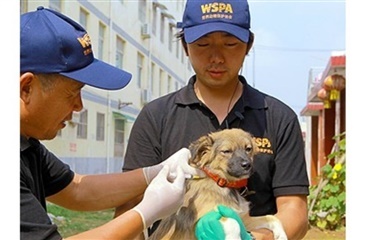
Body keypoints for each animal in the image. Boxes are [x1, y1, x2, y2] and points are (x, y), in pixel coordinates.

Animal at [147, 129, 286, 240]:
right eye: (226, 151)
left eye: (248, 149)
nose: (247, 165)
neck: (223, 183)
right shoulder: (202, 218)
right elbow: (232, 222)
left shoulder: (244, 219)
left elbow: (271, 218)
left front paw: (282, 235)